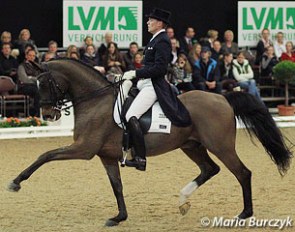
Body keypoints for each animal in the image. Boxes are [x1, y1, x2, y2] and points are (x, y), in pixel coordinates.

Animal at [7, 58, 294, 227]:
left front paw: (15, 183)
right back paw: (183, 200)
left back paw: (244, 214)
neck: (94, 101)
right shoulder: (106, 156)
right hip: (191, 146)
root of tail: (222, 97)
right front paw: (119, 217)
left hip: (220, 146)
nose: (49, 114)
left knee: (242, 173)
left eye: (46, 83)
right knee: (210, 169)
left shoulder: (84, 149)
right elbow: (117, 186)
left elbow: (45, 155)